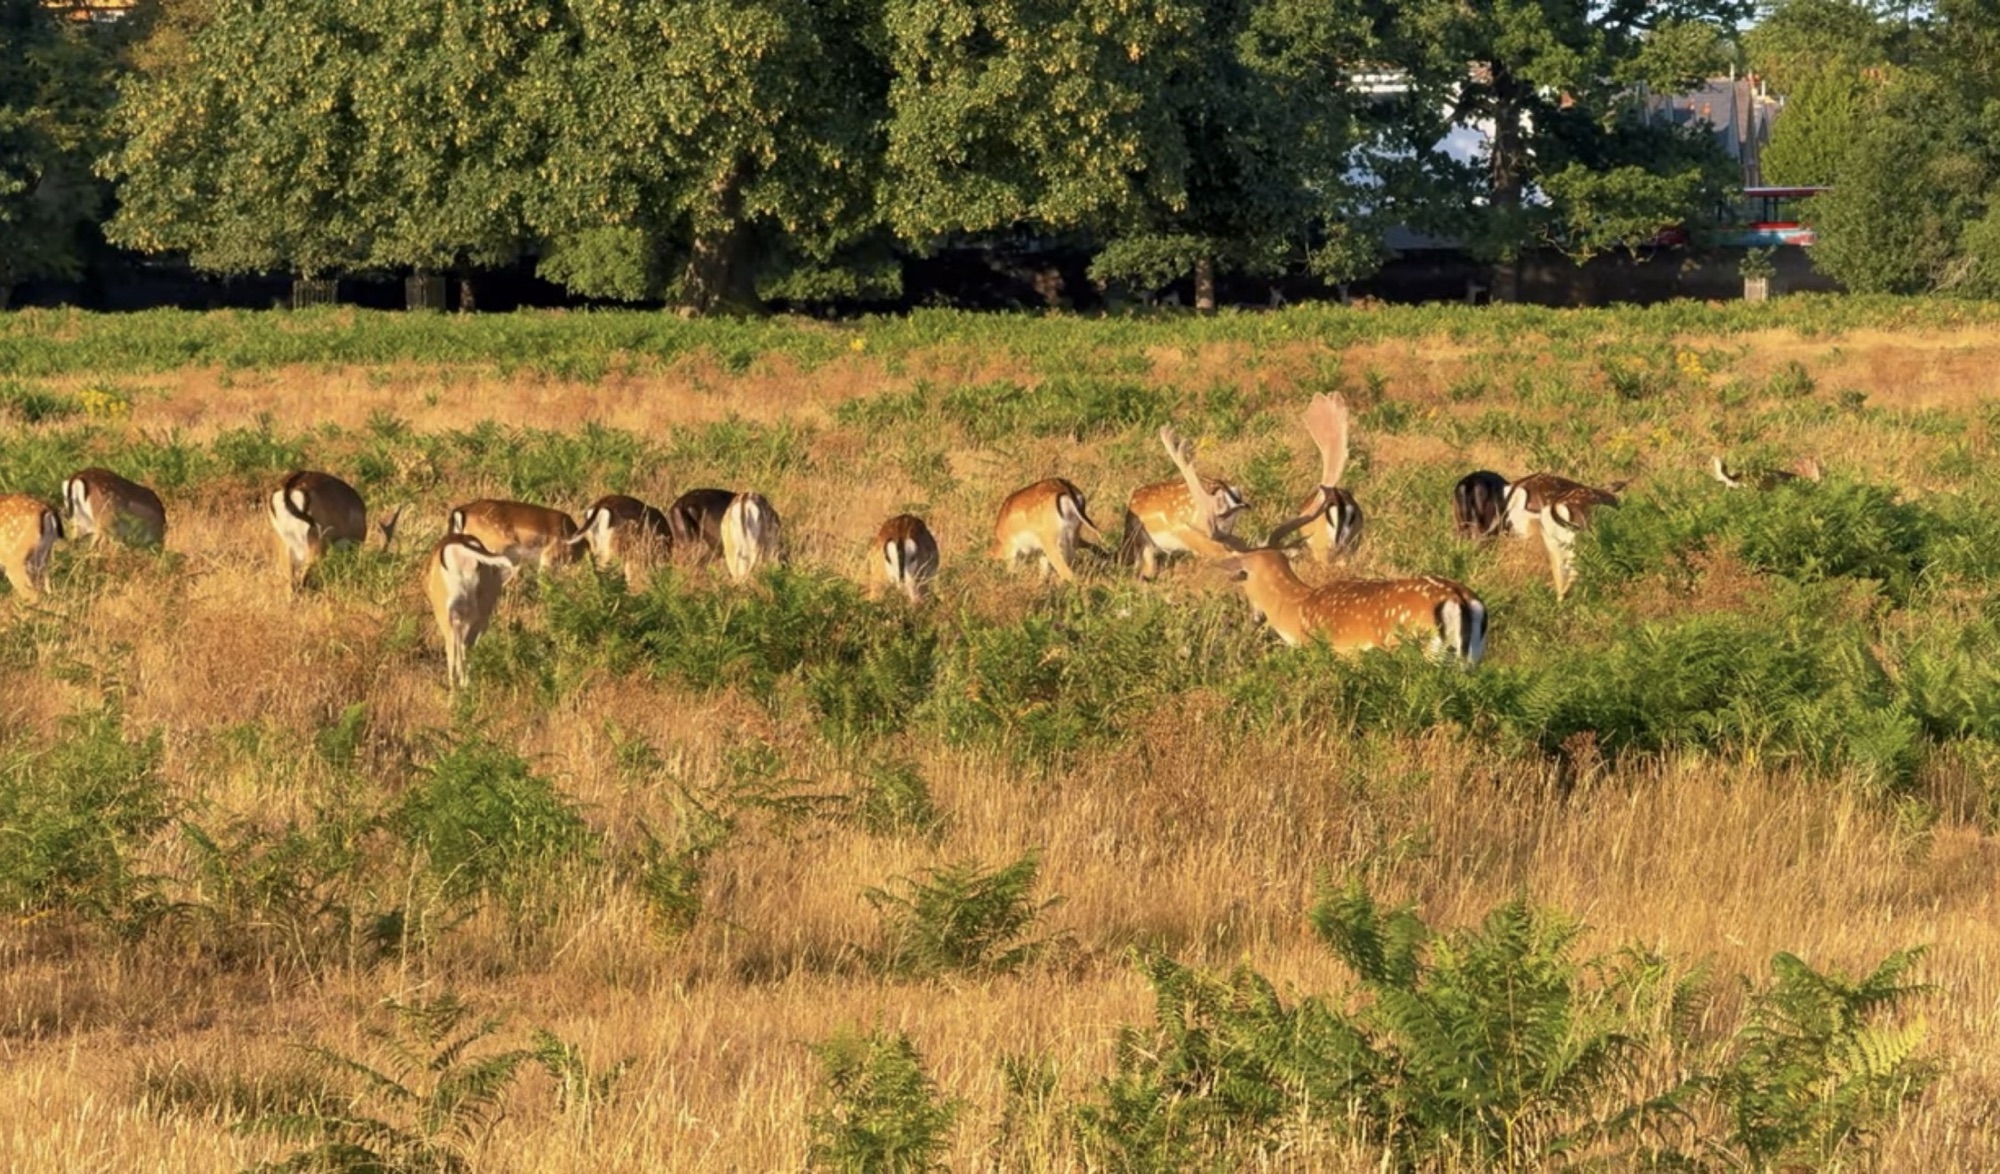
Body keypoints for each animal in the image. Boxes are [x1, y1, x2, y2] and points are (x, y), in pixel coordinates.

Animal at [1160, 425, 1486, 665]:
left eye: (1242, 575)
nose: (1254, 616)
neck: (1296, 611)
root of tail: (1461, 600)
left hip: (1420, 652)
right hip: (1474, 657)